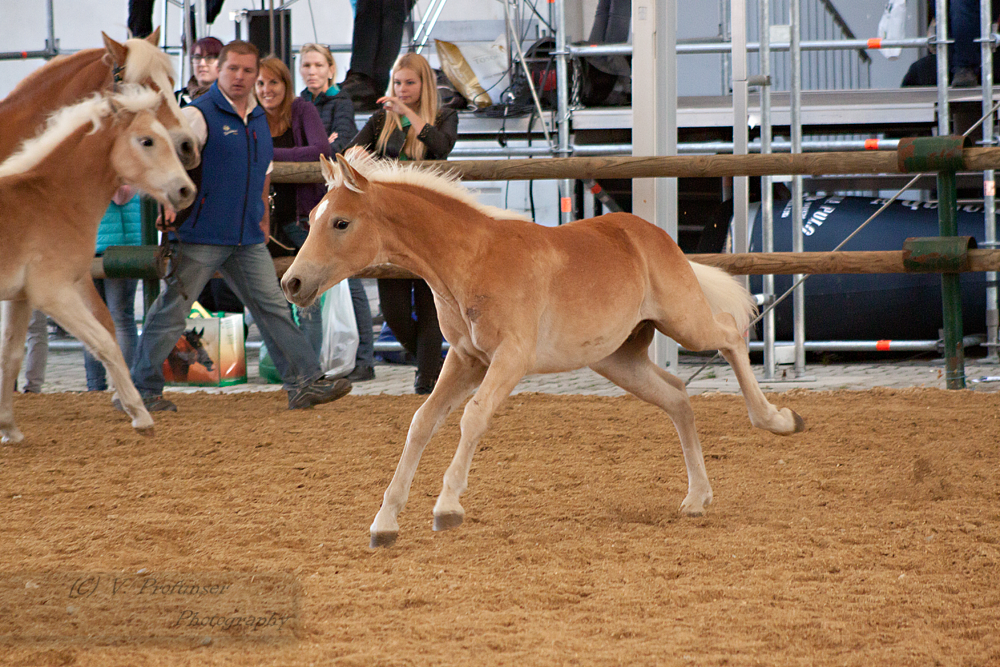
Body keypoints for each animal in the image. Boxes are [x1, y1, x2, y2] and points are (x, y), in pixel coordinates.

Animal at [0, 87, 195, 444]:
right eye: (147, 141)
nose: (185, 190)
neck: (50, 200)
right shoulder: (55, 294)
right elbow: (105, 343)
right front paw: (141, 416)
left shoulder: (20, 297)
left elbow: (11, 356)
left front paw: (9, 428)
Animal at [280, 153, 804, 548]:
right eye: (311, 219)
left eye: (341, 222)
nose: (292, 283)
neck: (472, 261)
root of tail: (656, 238)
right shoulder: (466, 360)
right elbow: (422, 423)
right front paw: (384, 523)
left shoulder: (511, 358)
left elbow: (472, 417)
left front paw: (447, 508)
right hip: (617, 359)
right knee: (677, 395)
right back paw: (697, 499)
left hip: (685, 321)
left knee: (731, 335)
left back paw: (778, 421)